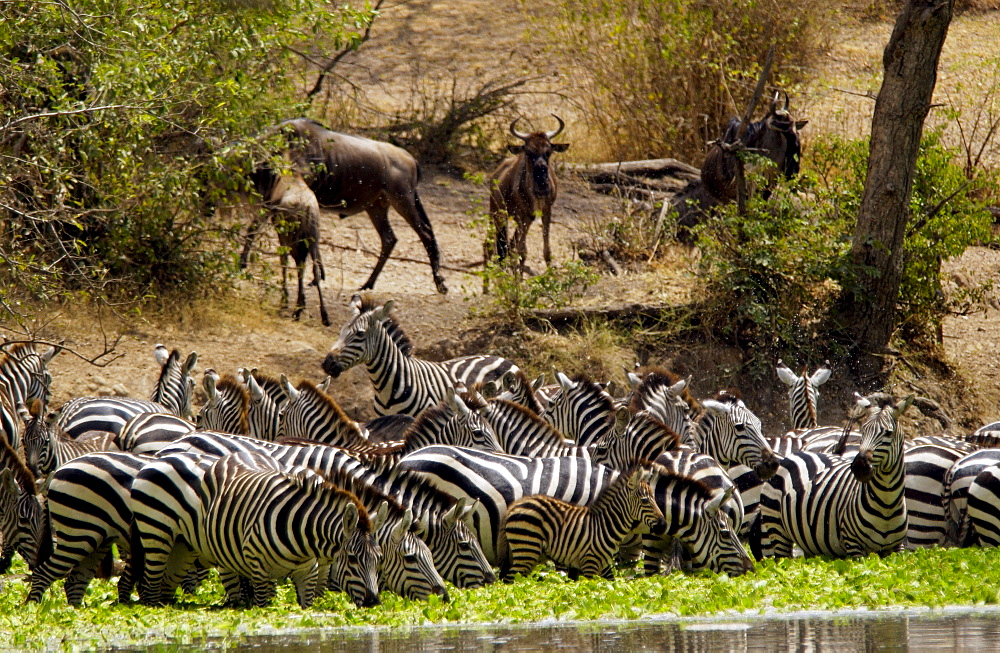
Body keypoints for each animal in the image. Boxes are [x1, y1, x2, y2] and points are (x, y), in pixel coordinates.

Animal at [27, 450, 150, 604]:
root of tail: (58, 470)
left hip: (97, 539)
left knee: (75, 583)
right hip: (78, 533)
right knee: (43, 574)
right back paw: (33, 607)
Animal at [498, 466, 664, 580]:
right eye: (645, 500)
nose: (663, 525)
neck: (605, 525)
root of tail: (515, 505)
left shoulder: (603, 565)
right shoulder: (590, 563)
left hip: (526, 552)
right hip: (527, 550)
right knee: (510, 581)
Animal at [756, 390, 916, 556]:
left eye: (888, 433)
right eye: (863, 431)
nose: (859, 467)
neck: (886, 503)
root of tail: (797, 453)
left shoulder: (897, 548)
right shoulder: (854, 545)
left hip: (809, 543)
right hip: (777, 529)